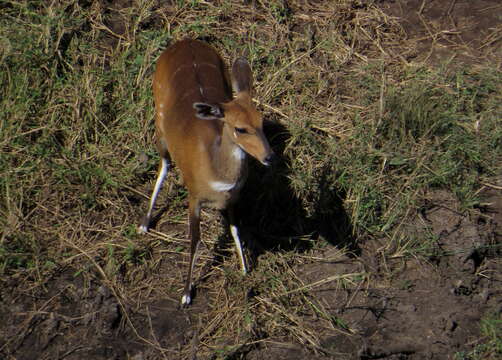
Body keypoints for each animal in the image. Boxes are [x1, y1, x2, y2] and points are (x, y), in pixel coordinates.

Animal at [139, 38, 274, 304]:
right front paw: (185, 295)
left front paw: (244, 268)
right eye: (240, 129)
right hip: (159, 121)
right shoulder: (195, 198)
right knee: (164, 165)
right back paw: (145, 222)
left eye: (261, 122)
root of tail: (185, 42)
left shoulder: (233, 199)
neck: (217, 173)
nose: (269, 157)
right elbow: (195, 239)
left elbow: (235, 228)